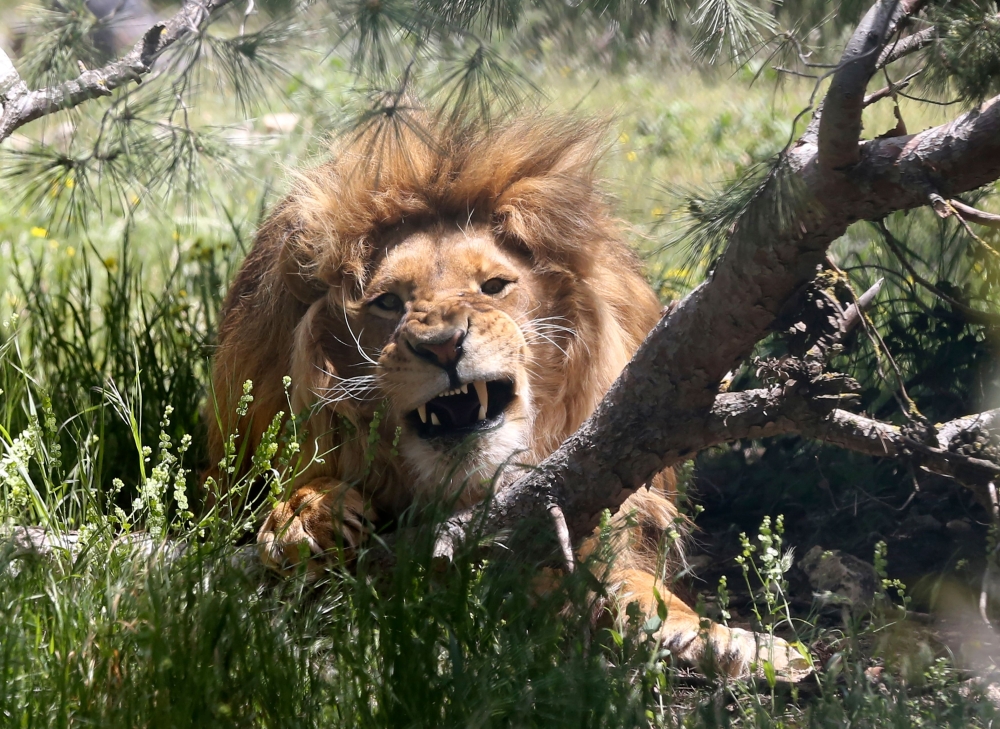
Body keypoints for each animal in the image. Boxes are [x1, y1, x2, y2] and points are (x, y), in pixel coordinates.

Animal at [205, 113, 812, 681]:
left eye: (494, 286)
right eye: (388, 302)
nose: (443, 345)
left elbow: (641, 587)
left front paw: (736, 642)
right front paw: (304, 516)